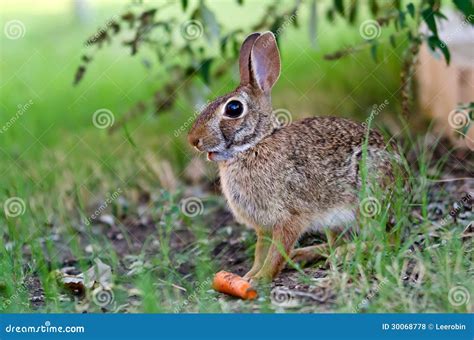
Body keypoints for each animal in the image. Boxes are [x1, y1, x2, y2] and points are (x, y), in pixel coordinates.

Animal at [188, 31, 400, 282]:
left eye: (233, 109)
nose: (193, 139)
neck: (255, 145)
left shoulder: (289, 217)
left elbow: (276, 251)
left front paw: (260, 279)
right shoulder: (263, 226)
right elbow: (261, 252)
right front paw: (249, 275)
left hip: (366, 198)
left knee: (386, 240)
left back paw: (344, 254)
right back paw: (305, 255)